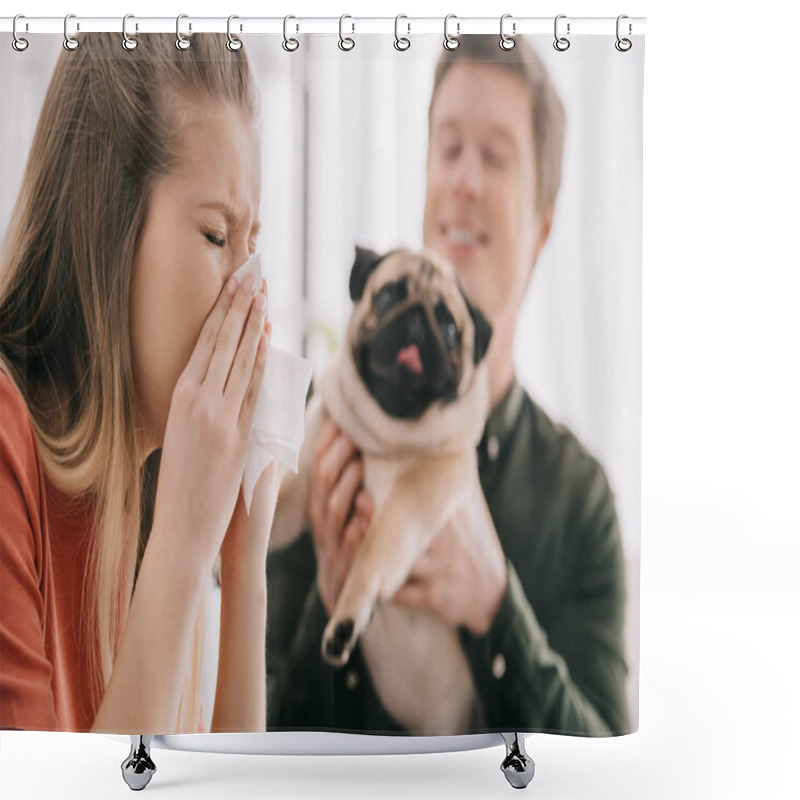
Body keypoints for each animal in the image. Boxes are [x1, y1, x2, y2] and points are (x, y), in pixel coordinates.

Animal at [272, 247, 490, 736]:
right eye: (389, 295)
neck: (386, 439)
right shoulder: (304, 481)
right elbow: (277, 504)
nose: (416, 321)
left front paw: (347, 617)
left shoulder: (413, 501)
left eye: (450, 328)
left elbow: (373, 553)